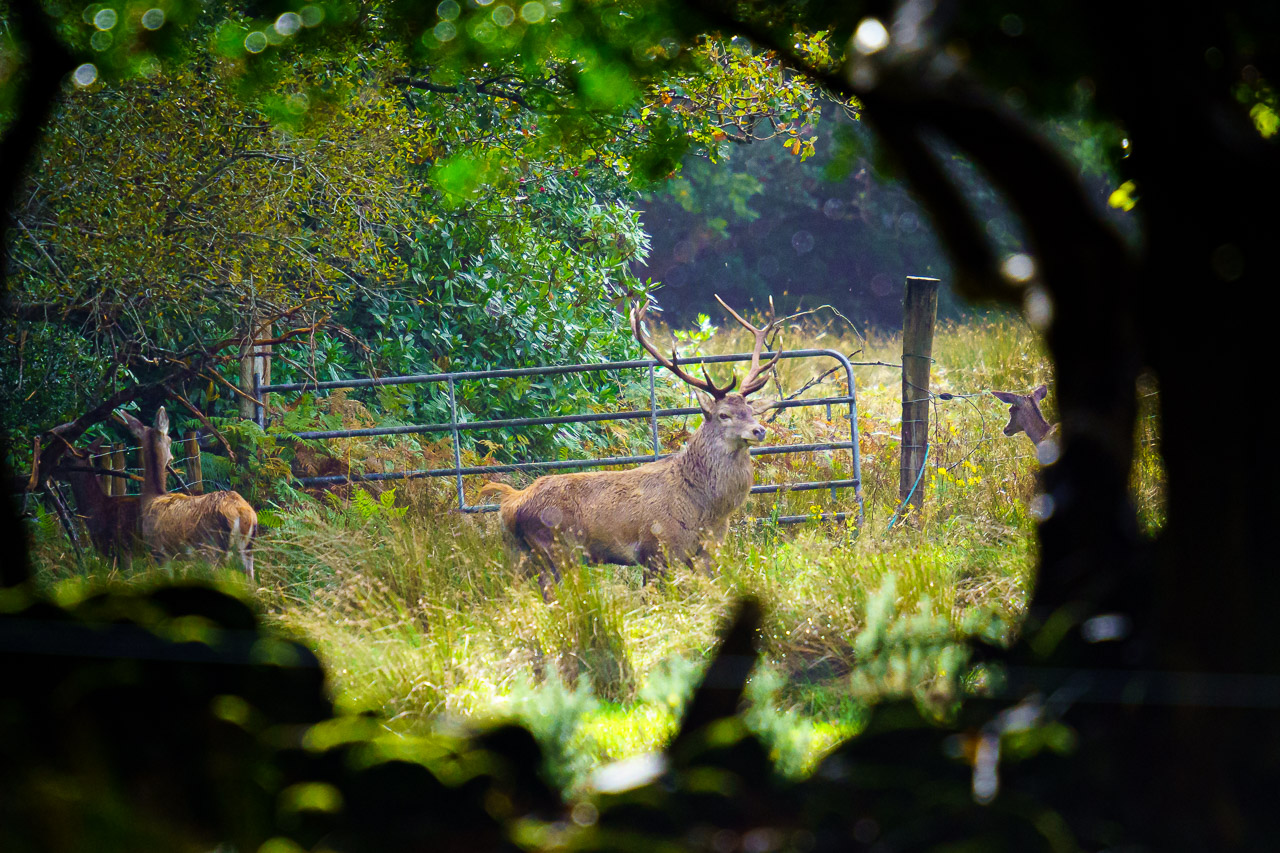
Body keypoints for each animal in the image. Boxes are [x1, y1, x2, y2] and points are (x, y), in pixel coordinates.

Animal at [117, 407, 259, 580]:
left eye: (170, 439)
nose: (171, 457)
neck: (152, 498)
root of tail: (243, 513)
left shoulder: (158, 550)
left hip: (211, 548)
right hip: (247, 547)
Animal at [480, 295, 781, 597]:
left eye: (751, 411)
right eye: (723, 415)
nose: (759, 430)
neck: (706, 508)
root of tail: (510, 503)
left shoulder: (708, 550)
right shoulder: (657, 548)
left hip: (524, 553)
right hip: (555, 549)